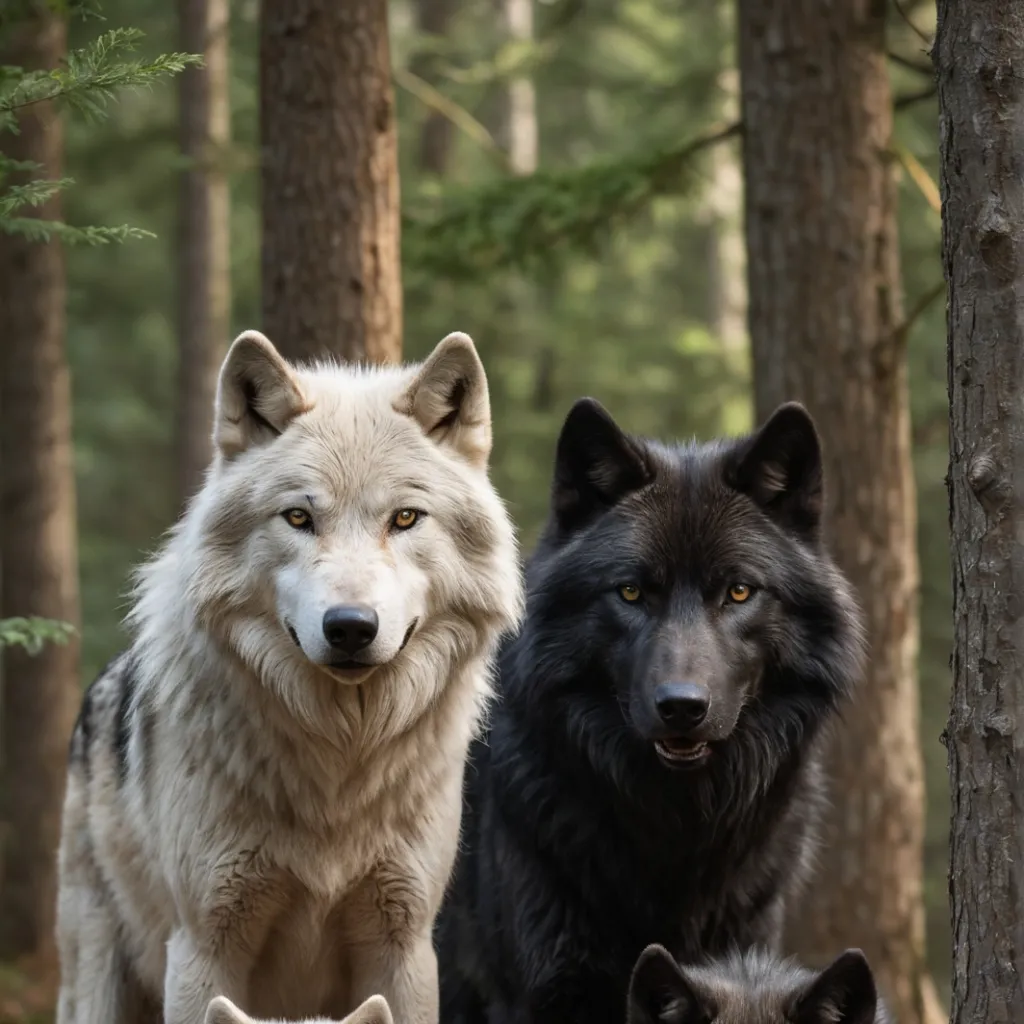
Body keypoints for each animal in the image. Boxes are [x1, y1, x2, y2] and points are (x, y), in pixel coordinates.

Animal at [56, 330, 523, 1024]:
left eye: (406, 518)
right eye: (299, 518)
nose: (351, 626)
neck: (338, 767)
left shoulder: (405, 945)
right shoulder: (203, 946)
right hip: (98, 974)